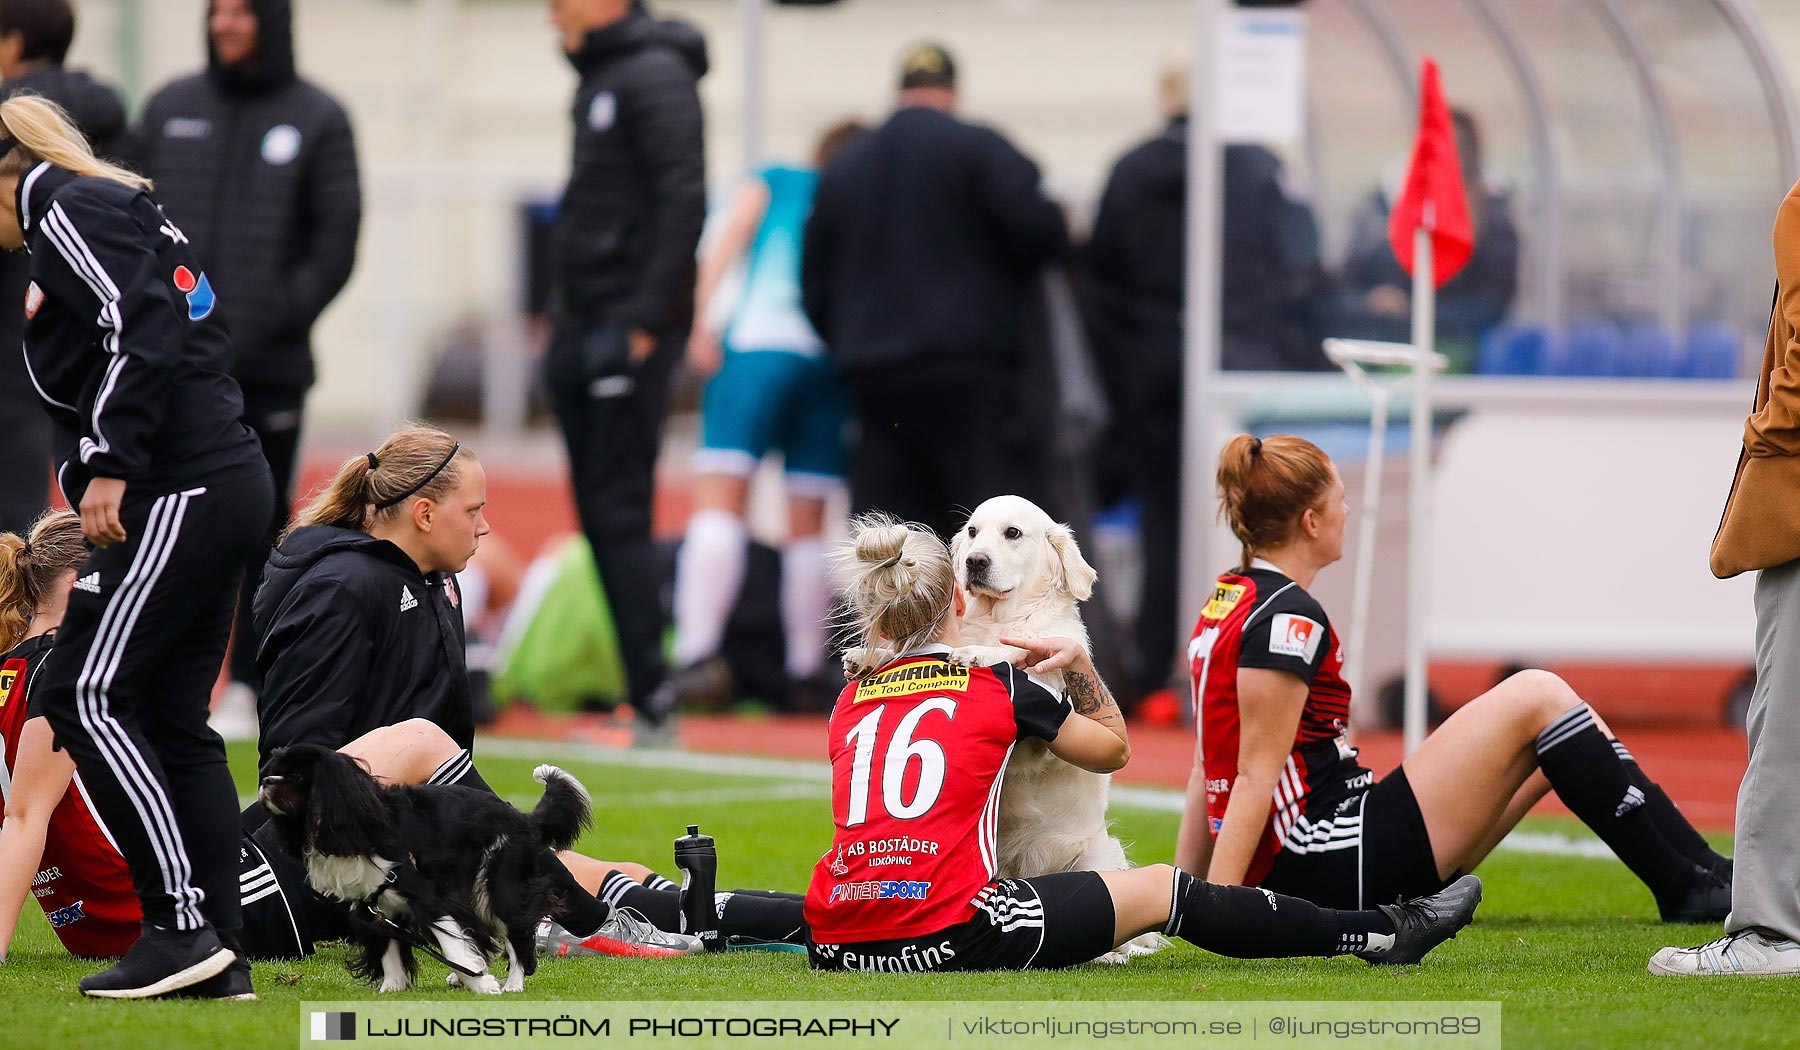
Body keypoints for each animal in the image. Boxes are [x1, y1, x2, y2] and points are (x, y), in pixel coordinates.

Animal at [257, 749, 590, 994]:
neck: (360, 823)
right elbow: (389, 950)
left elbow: (453, 947)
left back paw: (512, 984)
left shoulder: (427, 896)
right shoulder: (371, 905)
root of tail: (521, 818)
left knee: (516, 935)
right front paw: (392, 989)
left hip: (498, 886)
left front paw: (482, 984)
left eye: (296, 776)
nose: (266, 781)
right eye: (271, 771)